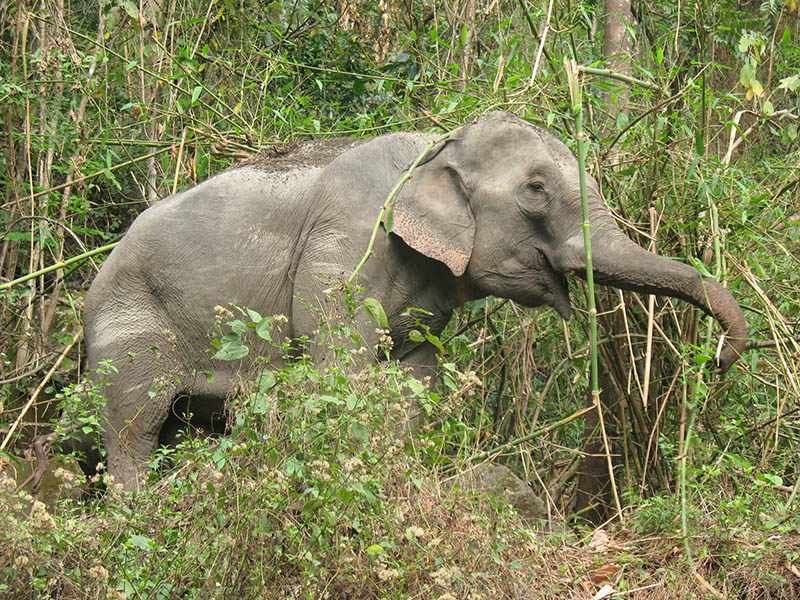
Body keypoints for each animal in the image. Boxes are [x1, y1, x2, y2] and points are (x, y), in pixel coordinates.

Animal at [82, 111, 748, 491]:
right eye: (536, 190)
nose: (718, 359)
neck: (435, 147)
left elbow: (414, 376)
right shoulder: (343, 247)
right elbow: (339, 366)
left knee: (184, 425)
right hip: (130, 331)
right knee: (135, 427)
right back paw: (138, 513)